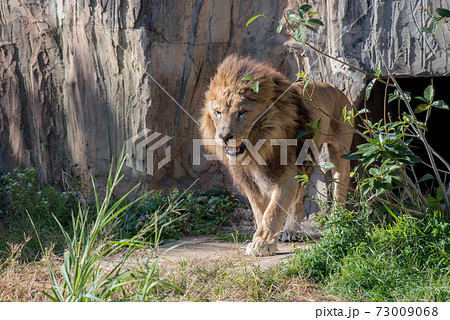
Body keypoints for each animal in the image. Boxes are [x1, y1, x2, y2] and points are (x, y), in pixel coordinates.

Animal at [200, 54, 352, 255]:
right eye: (218, 112)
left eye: (242, 112)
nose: (224, 137)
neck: (257, 146)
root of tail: (335, 88)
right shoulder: (250, 180)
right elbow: (260, 212)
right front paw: (263, 238)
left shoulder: (285, 174)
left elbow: (273, 211)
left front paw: (261, 243)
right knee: (298, 202)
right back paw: (289, 231)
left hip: (340, 153)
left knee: (339, 191)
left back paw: (336, 226)